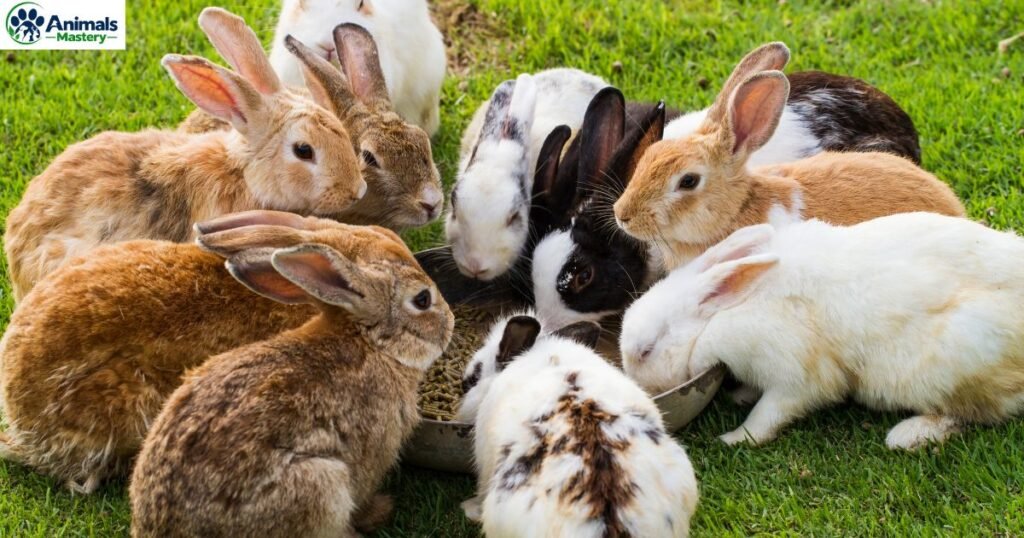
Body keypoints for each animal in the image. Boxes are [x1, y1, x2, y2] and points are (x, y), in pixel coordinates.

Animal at [130, 226, 454, 538]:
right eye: (423, 299)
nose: (450, 320)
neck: (373, 343)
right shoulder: (374, 452)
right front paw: (378, 510)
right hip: (319, 483)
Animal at [621, 213, 1024, 450]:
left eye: (646, 350)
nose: (639, 388)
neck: (718, 317)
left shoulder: (795, 378)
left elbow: (769, 415)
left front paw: (734, 438)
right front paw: (740, 395)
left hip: (947, 366)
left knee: (974, 413)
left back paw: (908, 435)